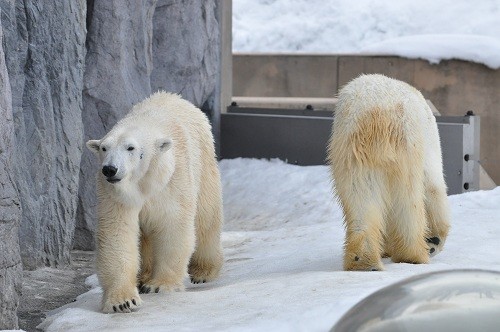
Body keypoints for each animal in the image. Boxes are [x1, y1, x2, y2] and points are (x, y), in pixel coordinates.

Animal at [87, 91, 224, 314]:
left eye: (131, 148)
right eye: (104, 148)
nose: (110, 169)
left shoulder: (173, 180)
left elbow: (172, 226)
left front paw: (160, 284)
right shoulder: (113, 194)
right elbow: (118, 232)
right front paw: (123, 301)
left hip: (204, 161)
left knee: (206, 217)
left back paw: (203, 271)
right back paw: (142, 277)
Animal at [328, 74, 450, 272]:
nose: (432, 247)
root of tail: (377, 115)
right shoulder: (429, 144)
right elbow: (434, 187)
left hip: (352, 151)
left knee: (361, 196)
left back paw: (363, 261)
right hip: (407, 143)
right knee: (408, 199)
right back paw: (413, 256)